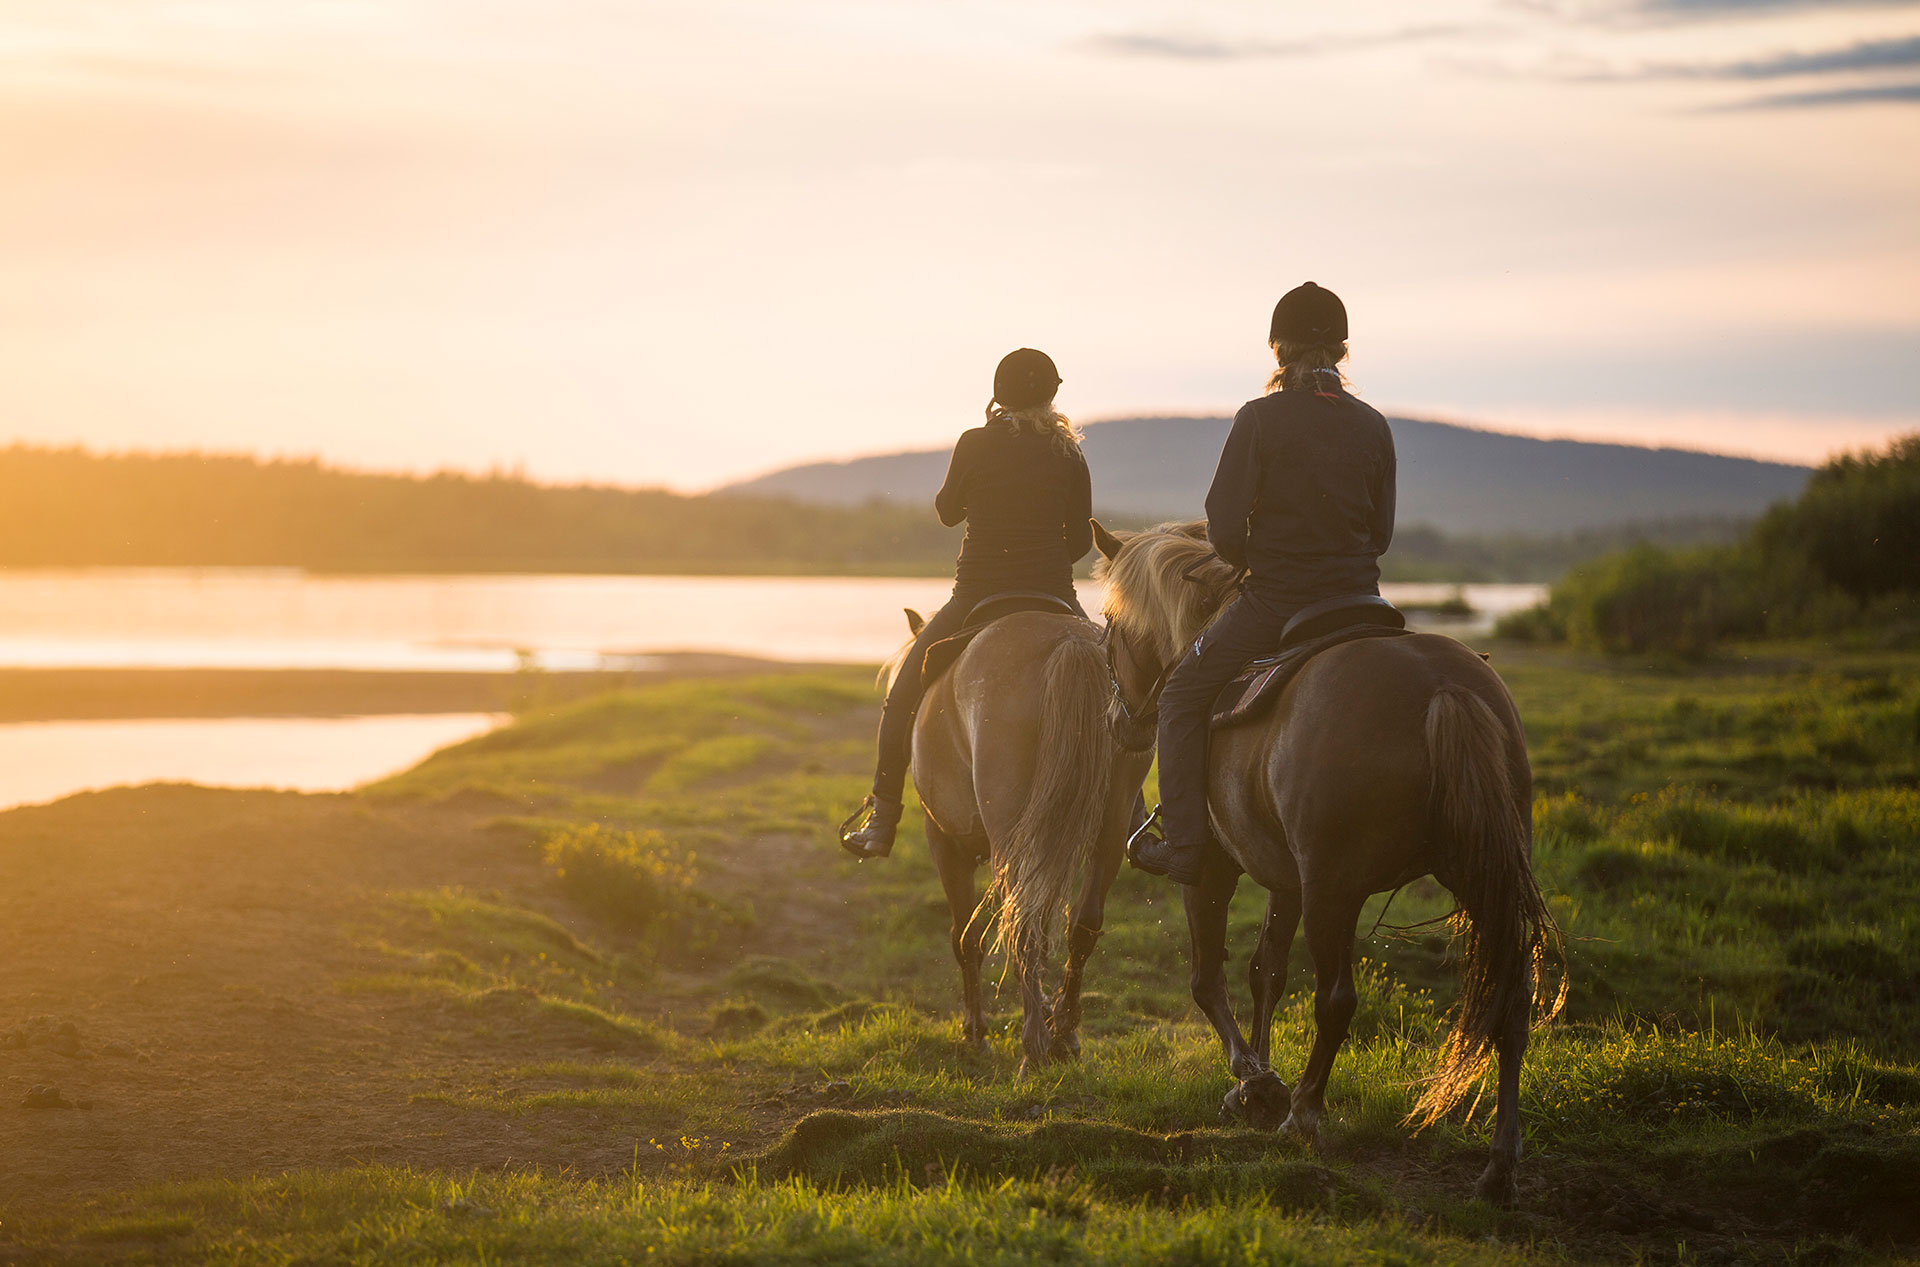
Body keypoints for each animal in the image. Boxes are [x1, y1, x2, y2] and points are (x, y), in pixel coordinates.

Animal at [889, 604, 1153, 1072]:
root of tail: (1071, 643)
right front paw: (1050, 1016)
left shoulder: (944, 842)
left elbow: (966, 938)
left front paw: (976, 1032)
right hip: (1109, 824)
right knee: (1081, 924)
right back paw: (1063, 1036)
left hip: (1012, 834)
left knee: (1022, 927)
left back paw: (1035, 1045)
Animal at [1091, 520, 1564, 1206]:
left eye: (1110, 624)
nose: (1118, 723)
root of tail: (1442, 688)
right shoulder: (1286, 879)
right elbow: (1266, 971)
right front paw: (1255, 1082)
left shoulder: (1214, 869)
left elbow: (1208, 979)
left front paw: (1255, 1083)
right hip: (1480, 880)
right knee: (1511, 1000)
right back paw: (1500, 1166)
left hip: (1334, 892)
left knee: (1336, 1000)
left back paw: (1305, 1115)